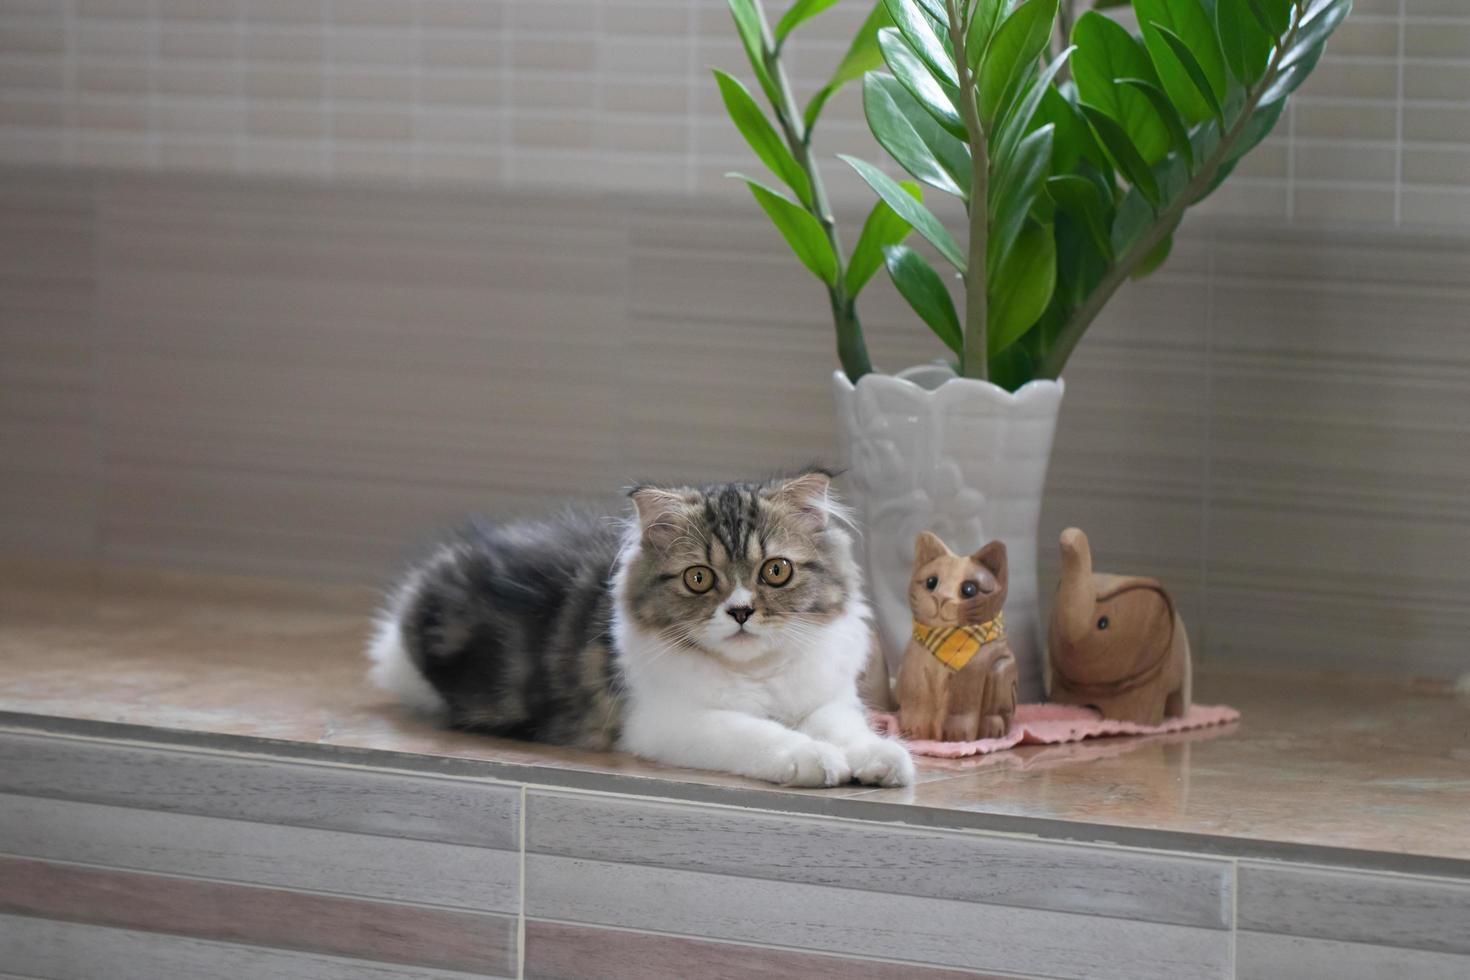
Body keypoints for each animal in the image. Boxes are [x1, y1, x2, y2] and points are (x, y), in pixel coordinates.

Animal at [367, 470, 911, 787]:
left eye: (775, 571)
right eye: (699, 578)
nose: (740, 612)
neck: (756, 674)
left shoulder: (826, 700)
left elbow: (847, 729)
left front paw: (882, 758)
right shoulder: (668, 721)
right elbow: (759, 733)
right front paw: (814, 759)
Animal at [893, 531, 1023, 740]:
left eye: (969, 589)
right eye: (931, 582)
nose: (941, 598)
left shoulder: (970, 679)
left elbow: (960, 710)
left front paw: (957, 733)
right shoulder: (915, 671)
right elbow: (917, 702)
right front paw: (914, 728)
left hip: (1001, 671)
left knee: (998, 712)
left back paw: (992, 729)